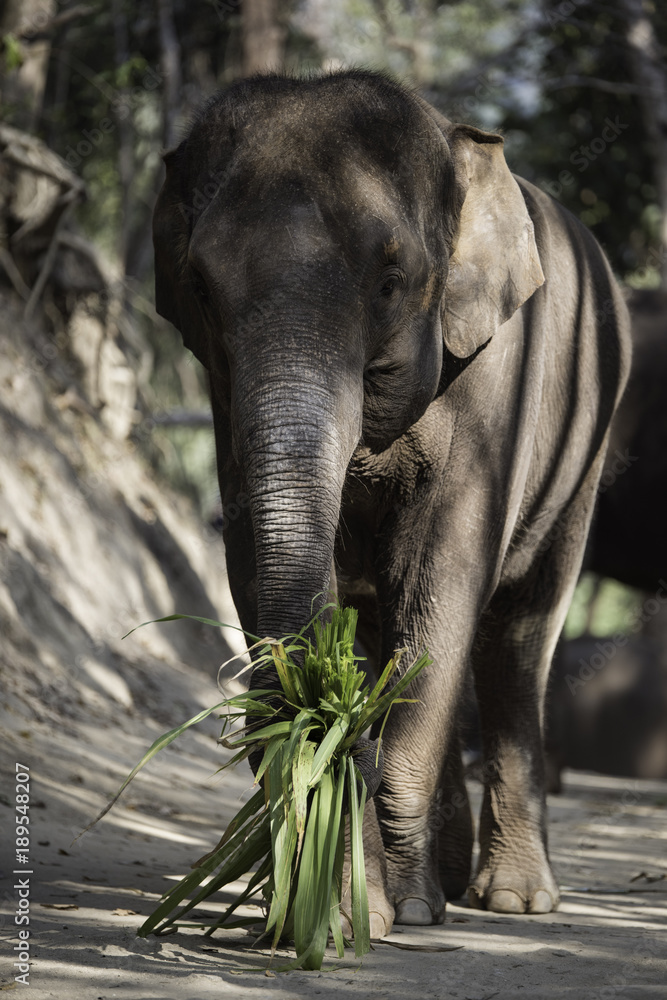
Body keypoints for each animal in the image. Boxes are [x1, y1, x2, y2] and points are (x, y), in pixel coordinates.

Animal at [153, 72, 632, 936]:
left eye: (389, 280)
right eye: (200, 289)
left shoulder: (497, 378)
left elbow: (443, 568)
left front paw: (390, 905)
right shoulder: (221, 393)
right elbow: (254, 553)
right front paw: (347, 905)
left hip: (588, 439)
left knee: (515, 638)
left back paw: (510, 898)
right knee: (390, 623)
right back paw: (444, 879)